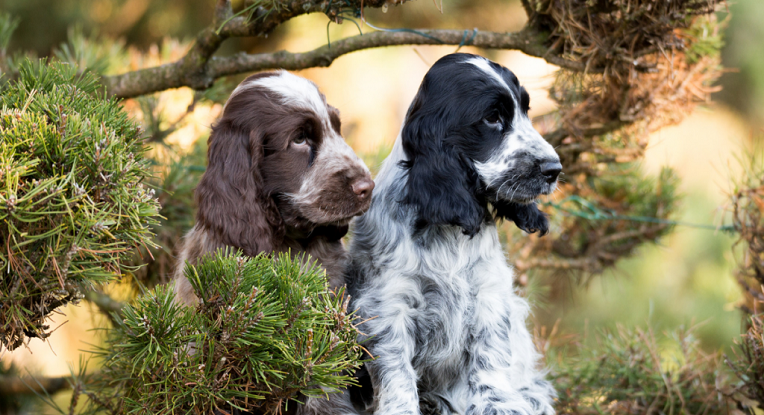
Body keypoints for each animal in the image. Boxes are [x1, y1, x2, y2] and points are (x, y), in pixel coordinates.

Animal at [346, 54, 560, 415]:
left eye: (526, 111)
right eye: (492, 118)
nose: (554, 169)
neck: (449, 228)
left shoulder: (488, 293)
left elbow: (489, 360)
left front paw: (499, 406)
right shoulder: (389, 303)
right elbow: (396, 371)